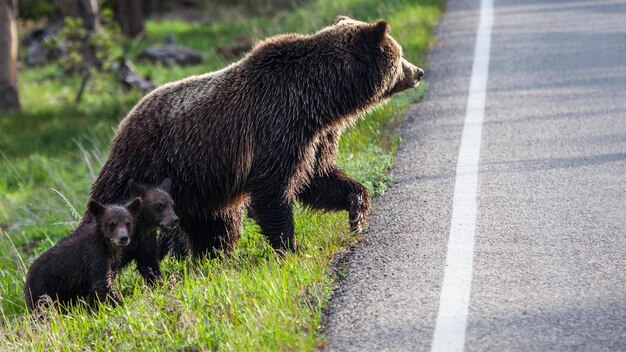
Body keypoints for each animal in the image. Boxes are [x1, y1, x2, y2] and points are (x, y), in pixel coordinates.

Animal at [89, 16, 420, 258]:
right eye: (400, 54)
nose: (418, 72)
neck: (321, 101)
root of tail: (125, 120)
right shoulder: (277, 126)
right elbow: (273, 190)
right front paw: (291, 247)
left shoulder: (315, 137)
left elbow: (318, 178)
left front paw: (357, 212)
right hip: (146, 165)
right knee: (107, 203)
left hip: (200, 189)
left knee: (217, 227)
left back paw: (211, 256)